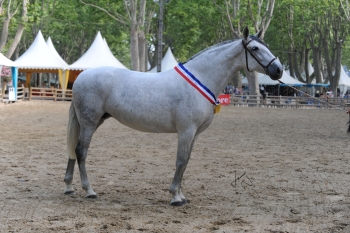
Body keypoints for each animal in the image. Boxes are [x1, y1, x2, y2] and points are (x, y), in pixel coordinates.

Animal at [63, 26, 282, 207]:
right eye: (255, 48)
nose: (278, 70)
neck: (200, 79)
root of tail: (81, 76)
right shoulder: (186, 131)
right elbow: (180, 161)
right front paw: (176, 197)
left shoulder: (194, 134)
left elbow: (186, 162)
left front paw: (181, 195)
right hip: (90, 123)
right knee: (81, 151)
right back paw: (89, 191)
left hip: (93, 121)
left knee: (73, 150)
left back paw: (69, 187)